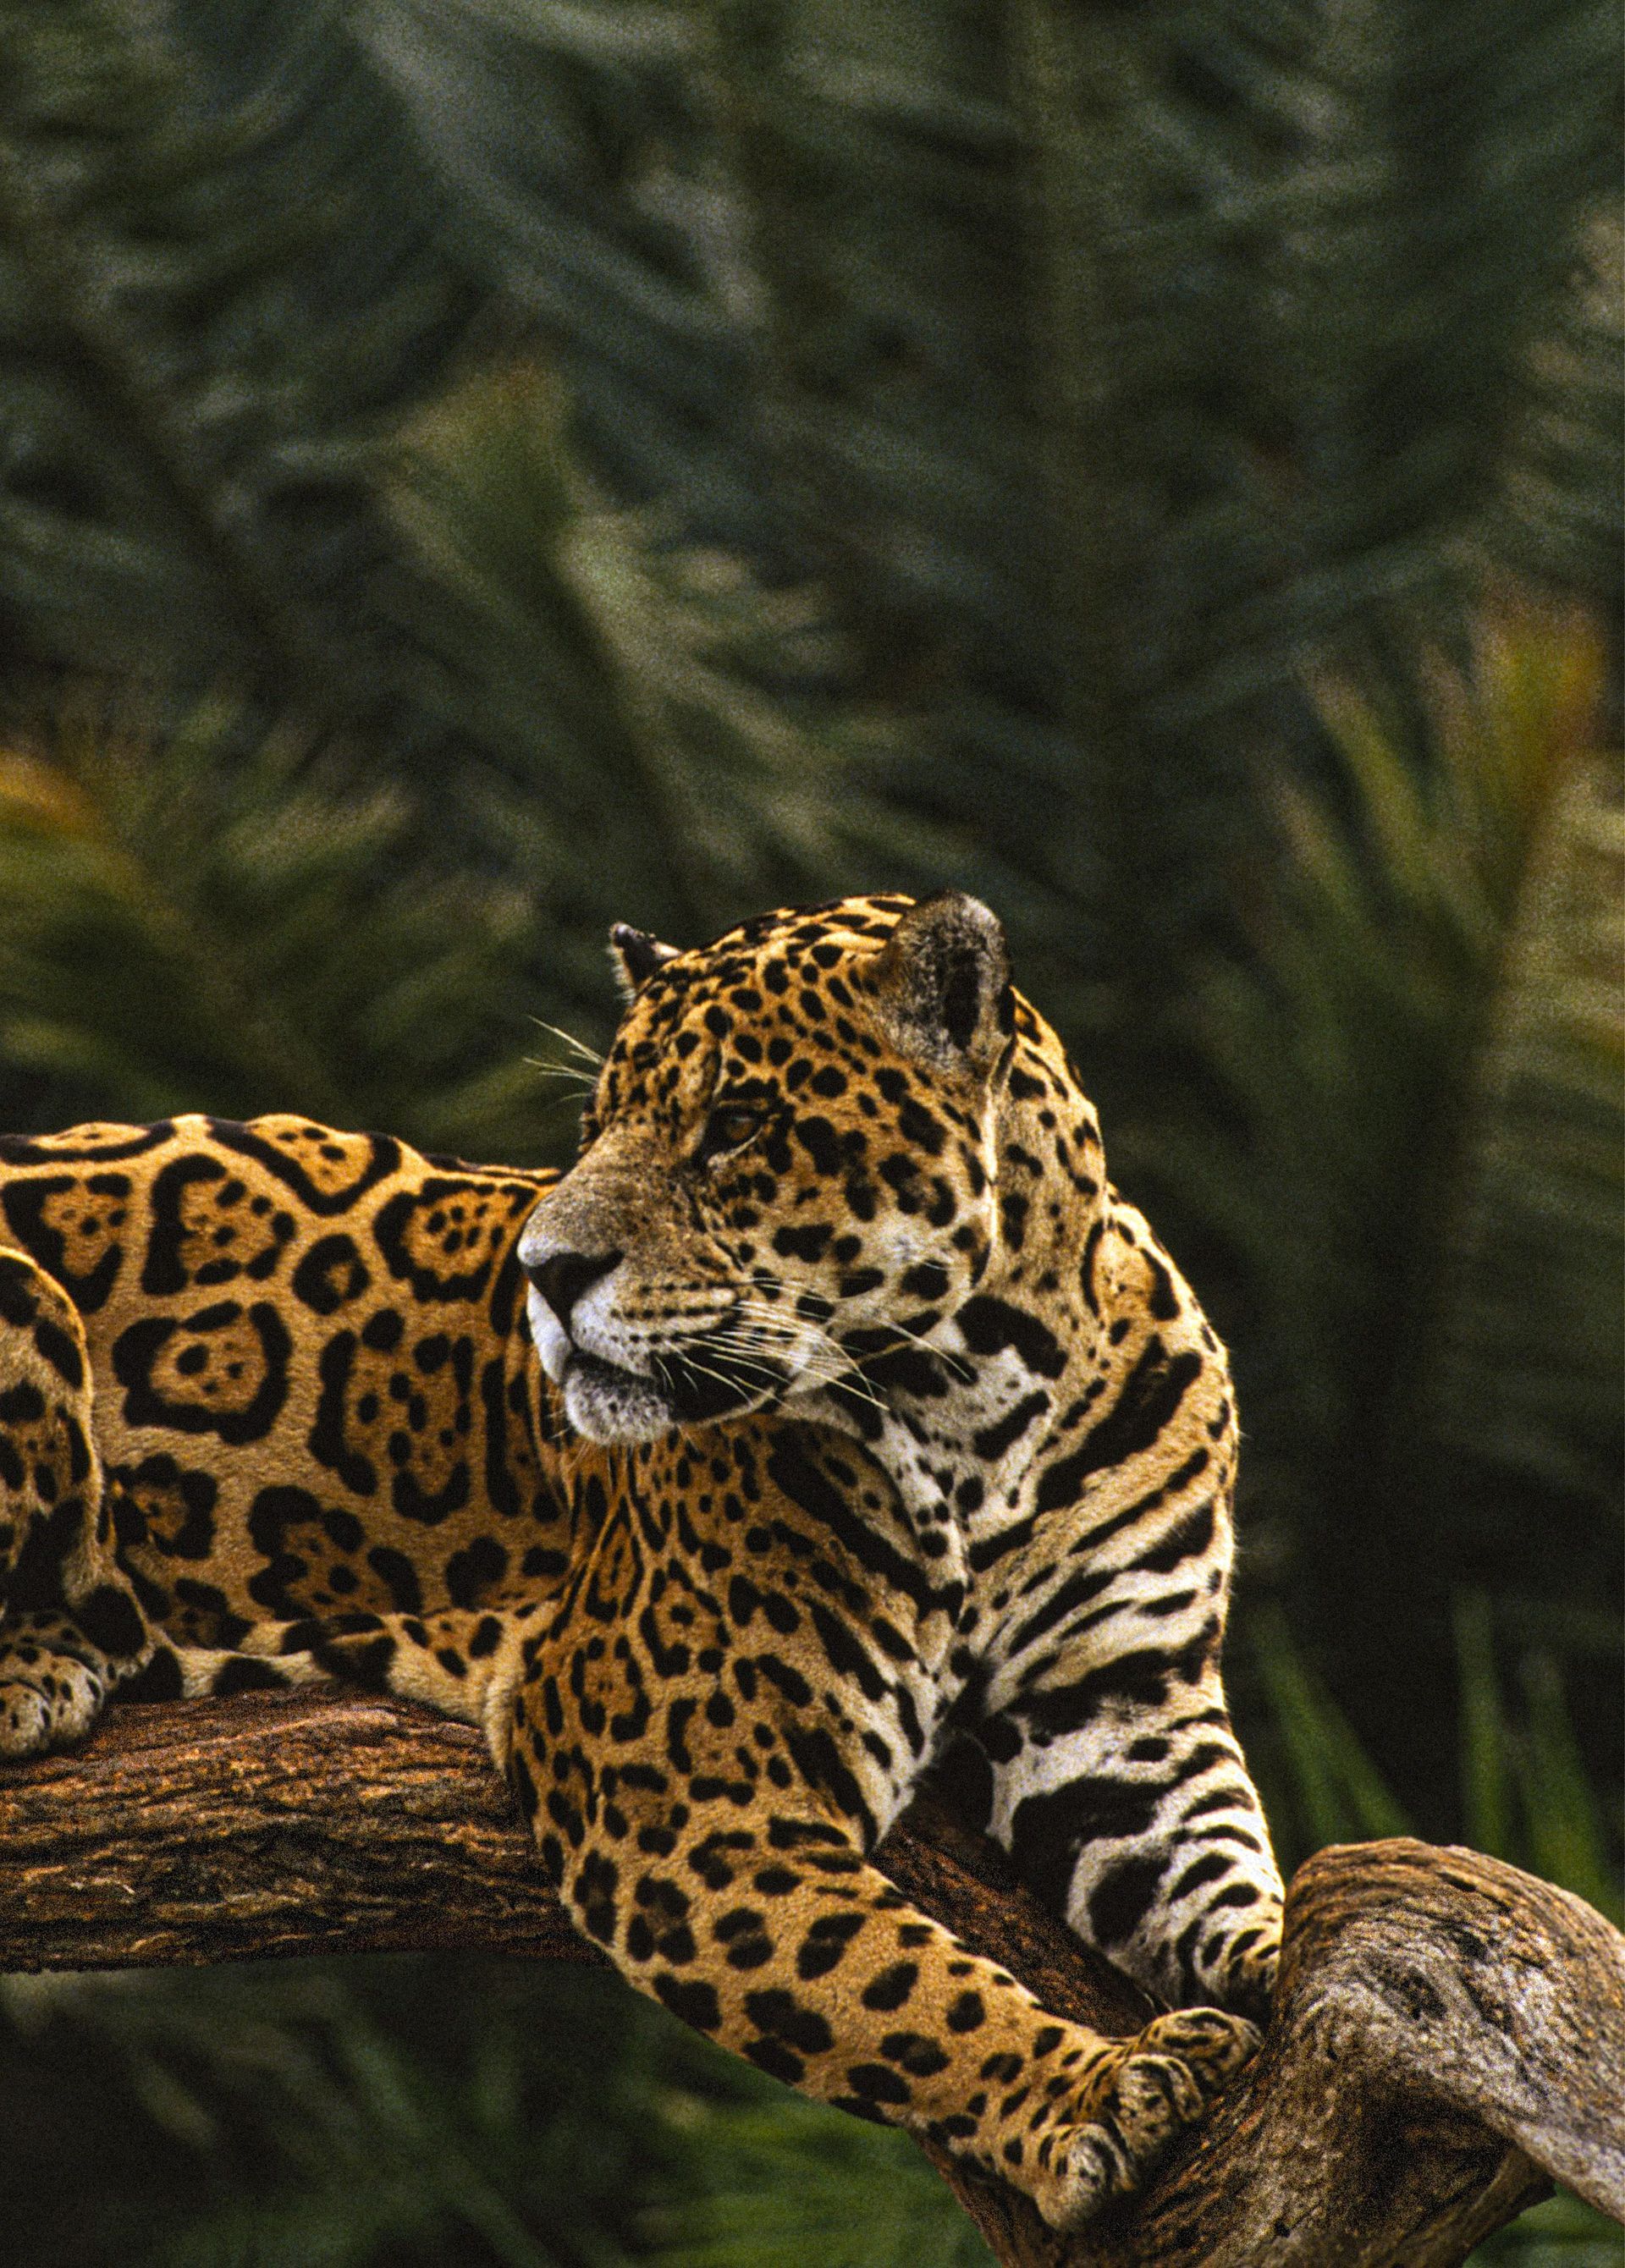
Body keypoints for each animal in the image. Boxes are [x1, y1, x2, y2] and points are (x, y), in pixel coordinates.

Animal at [0, 890, 1283, 2232]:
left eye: (737, 1125)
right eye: (595, 1127)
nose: (545, 1272)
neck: (985, 1399)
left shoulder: (1115, 1710)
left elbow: (1222, 1874)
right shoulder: (677, 1786)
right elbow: (909, 1990)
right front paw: (1091, 2090)